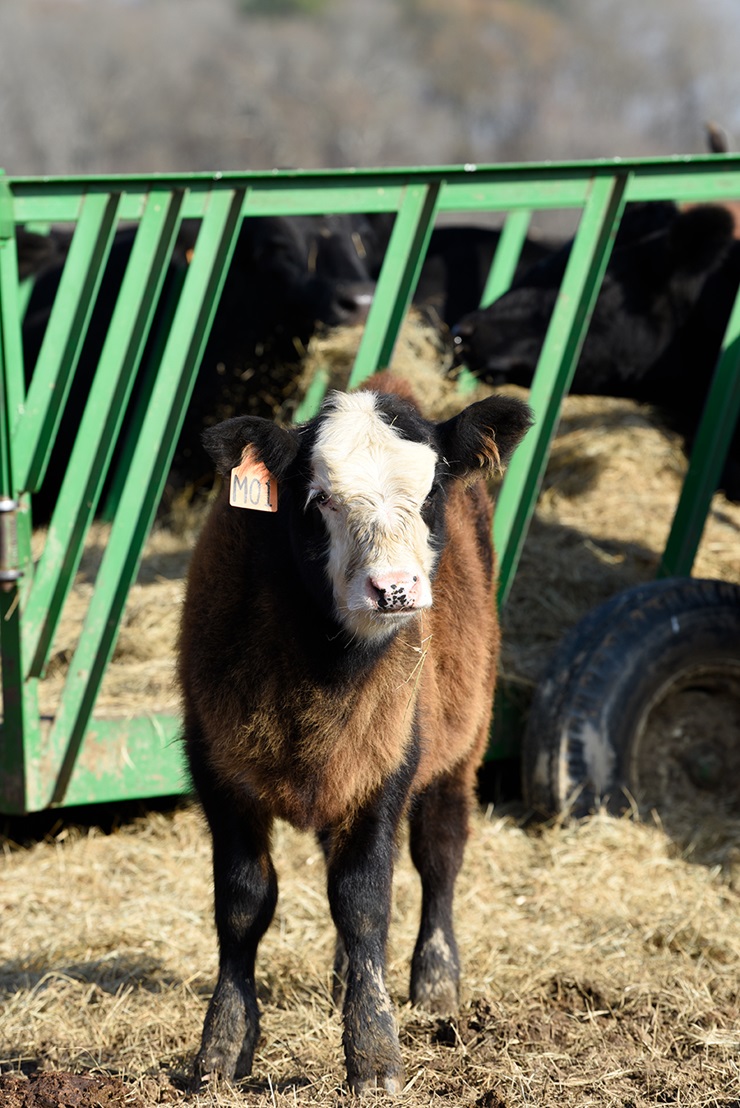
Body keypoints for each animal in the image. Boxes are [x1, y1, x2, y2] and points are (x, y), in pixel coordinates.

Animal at [177, 372, 532, 1093]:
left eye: (431, 493)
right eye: (319, 500)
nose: (394, 589)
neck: (322, 667)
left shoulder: (387, 768)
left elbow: (364, 898)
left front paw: (373, 1052)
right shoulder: (218, 770)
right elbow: (243, 902)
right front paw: (222, 1047)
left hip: (463, 745)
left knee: (438, 853)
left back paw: (434, 979)